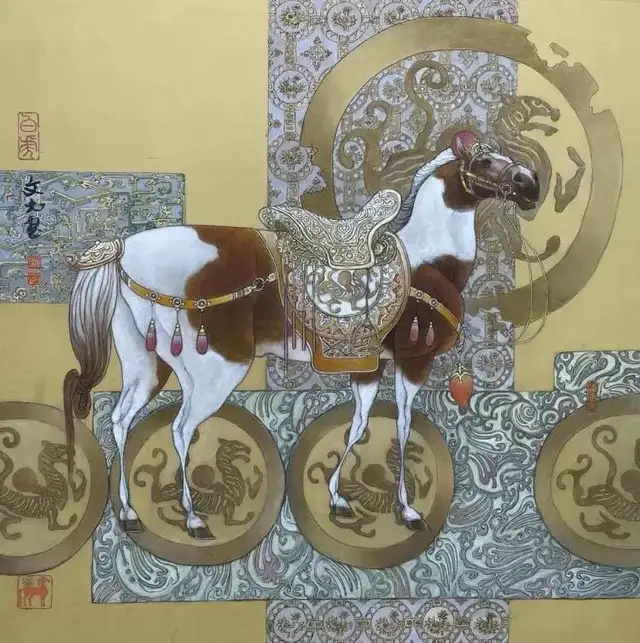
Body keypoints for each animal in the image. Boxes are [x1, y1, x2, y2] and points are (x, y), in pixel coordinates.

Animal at [62, 131, 539, 539]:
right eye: (485, 160)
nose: (530, 184)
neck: (430, 260)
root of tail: (125, 250)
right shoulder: (414, 361)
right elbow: (403, 426)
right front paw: (406, 510)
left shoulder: (368, 367)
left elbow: (359, 426)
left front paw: (337, 499)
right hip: (214, 369)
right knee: (180, 430)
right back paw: (194, 519)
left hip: (147, 364)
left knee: (121, 420)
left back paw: (128, 513)